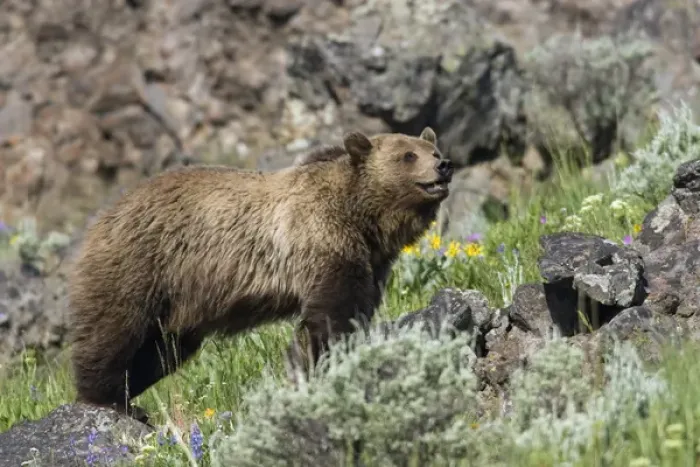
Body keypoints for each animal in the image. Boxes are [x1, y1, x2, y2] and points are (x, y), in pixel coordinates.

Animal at [67, 127, 454, 419]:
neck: (363, 218)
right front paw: (313, 366)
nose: (444, 165)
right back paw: (112, 399)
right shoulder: (322, 241)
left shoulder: (371, 264)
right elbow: (329, 317)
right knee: (114, 328)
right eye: (408, 155)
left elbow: (356, 308)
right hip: (142, 263)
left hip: (178, 304)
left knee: (161, 352)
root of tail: (103, 216)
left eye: (432, 149)